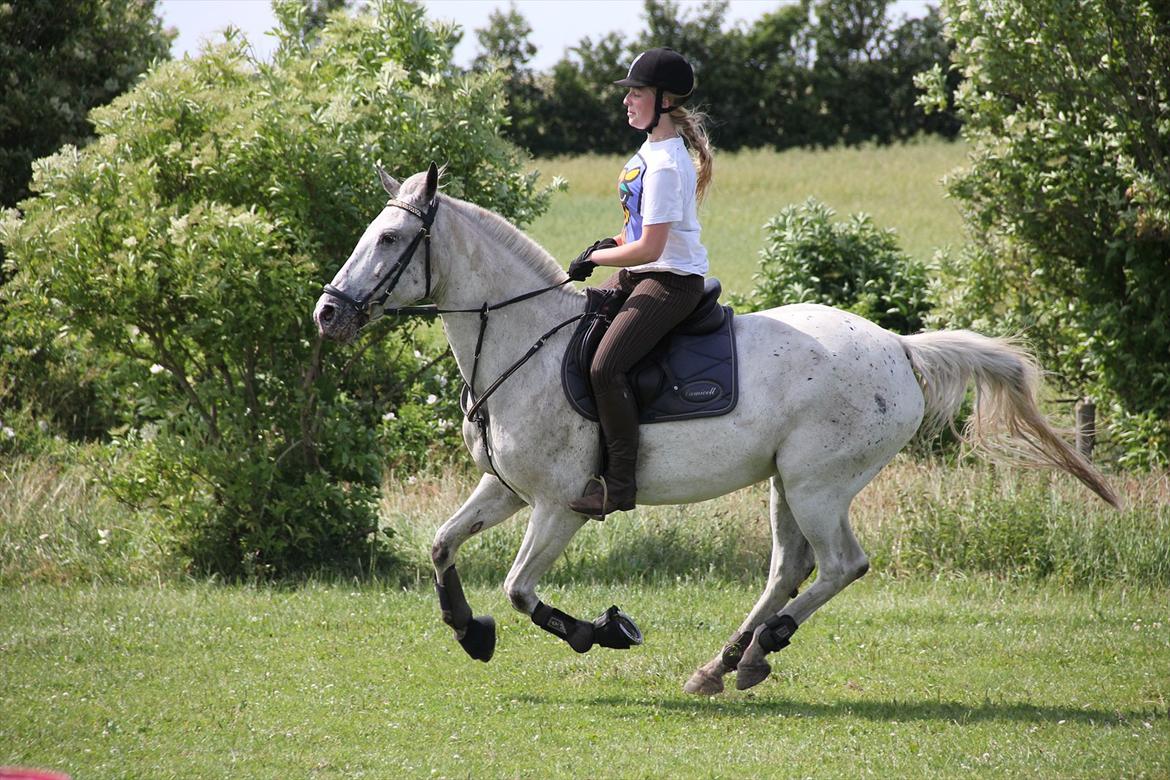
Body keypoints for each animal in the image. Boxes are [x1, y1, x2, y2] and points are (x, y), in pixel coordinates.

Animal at [315, 164, 1118, 696]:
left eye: (390, 238)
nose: (328, 314)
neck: (524, 342)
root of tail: (899, 347)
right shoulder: (505, 488)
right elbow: (441, 545)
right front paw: (470, 632)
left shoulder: (558, 504)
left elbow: (517, 588)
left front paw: (602, 631)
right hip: (786, 484)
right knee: (788, 568)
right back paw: (725, 662)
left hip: (818, 483)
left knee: (840, 565)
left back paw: (763, 649)